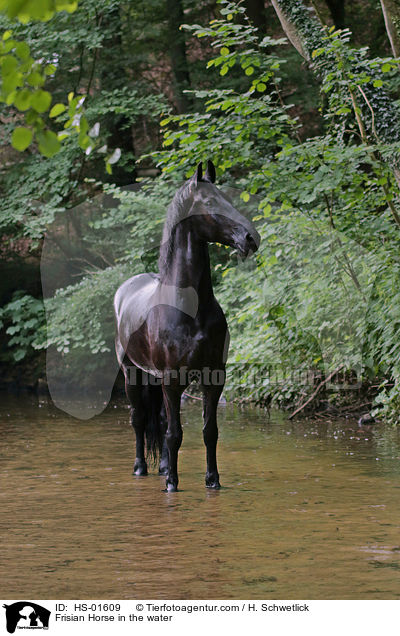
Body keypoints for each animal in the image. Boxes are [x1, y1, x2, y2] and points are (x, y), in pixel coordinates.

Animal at [114, 160, 260, 492]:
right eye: (209, 202)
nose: (251, 238)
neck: (190, 309)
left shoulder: (213, 377)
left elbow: (208, 431)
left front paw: (212, 480)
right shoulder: (171, 379)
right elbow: (174, 433)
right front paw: (172, 484)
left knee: (160, 422)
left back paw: (163, 467)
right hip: (132, 373)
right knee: (138, 420)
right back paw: (141, 467)